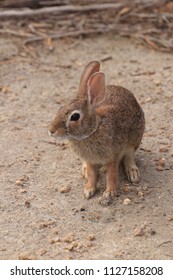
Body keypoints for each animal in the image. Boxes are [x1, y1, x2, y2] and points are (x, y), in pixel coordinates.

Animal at [48, 60, 145, 198]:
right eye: (60, 108)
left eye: (75, 117)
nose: (51, 130)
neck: (93, 130)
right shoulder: (90, 160)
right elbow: (92, 174)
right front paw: (88, 190)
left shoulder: (113, 156)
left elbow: (111, 175)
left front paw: (109, 192)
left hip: (135, 138)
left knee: (129, 156)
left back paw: (133, 173)